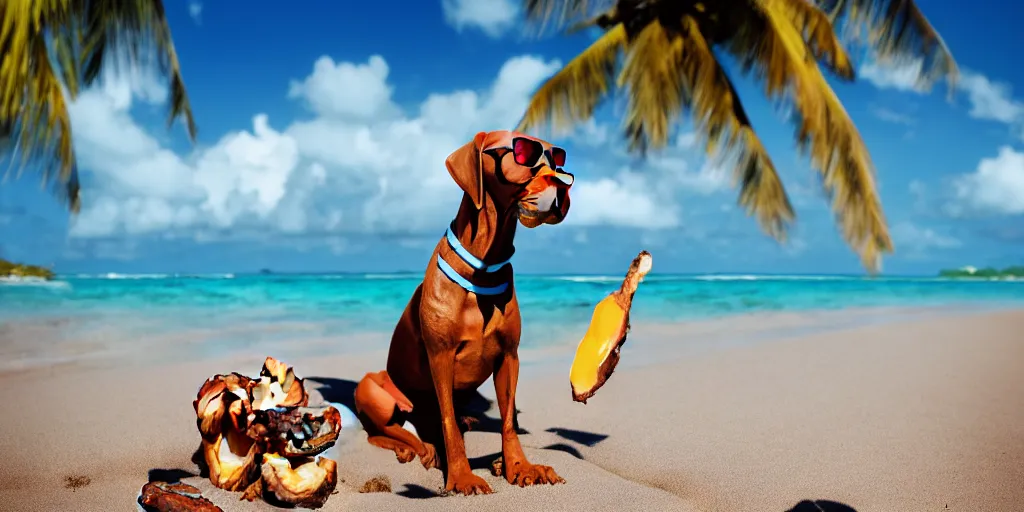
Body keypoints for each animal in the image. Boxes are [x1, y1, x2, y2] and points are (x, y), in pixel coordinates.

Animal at [356, 129, 573, 495]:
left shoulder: (509, 357)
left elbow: (508, 421)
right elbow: (448, 424)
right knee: (385, 431)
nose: (564, 184)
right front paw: (460, 475)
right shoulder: (440, 357)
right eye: (522, 153)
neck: (483, 266)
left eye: (557, 160)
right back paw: (417, 449)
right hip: (373, 390)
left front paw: (519, 466)